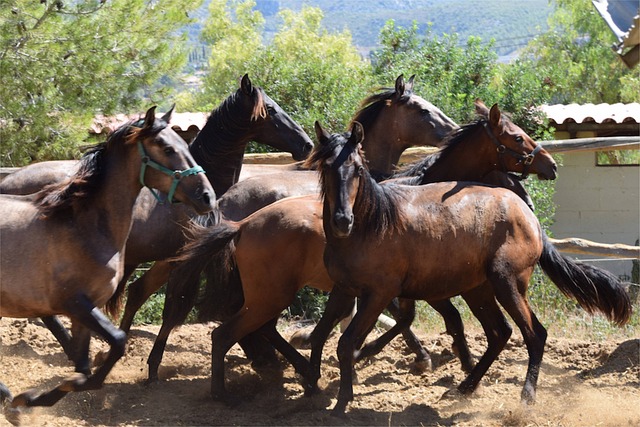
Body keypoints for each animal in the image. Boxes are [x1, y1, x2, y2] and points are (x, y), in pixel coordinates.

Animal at [0, 105, 215, 420]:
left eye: (186, 146)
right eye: (165, 148)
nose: (207, 196)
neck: (84, 226)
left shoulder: (84, 311)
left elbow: (85, 366)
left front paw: (34, 398)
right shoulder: (76, 304)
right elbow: (117, 342)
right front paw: (27, 399)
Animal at [164, 100, 560, 402]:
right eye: (516, 136)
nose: (550, 165)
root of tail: (238, 220)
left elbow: (419, 320)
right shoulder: (407, 287)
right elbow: (423, 320)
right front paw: (391, 358)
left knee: (255, 328)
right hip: (271, 292)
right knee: (242, 328)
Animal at [304, 122, 632, 416]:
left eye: (358, 169)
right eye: (326, 168)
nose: (342, 220)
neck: (373, 224)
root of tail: (529, 216)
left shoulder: (379, 294)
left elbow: (347, 343)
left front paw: (342, 401)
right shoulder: (344, 289)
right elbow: (320, 334)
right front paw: (311, 385)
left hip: (506, 283)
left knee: (534, 333)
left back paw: (525, 398)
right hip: (479, 290)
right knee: (499, 333)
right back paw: (465, 387)